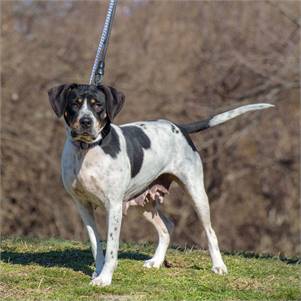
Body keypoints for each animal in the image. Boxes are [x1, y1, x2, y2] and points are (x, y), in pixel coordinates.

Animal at [48, 83, 274, 284]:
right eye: (75, 103)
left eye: (98, 105)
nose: (86, 121)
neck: (88, 150)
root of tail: (179, 127)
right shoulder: (83, 206)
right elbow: (96, 243)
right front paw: (98, 271)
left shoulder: (114, 206)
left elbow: (112, 247)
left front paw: (104, 278)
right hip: (144, 201)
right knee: (167, 226)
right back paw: (156, 261)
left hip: (196, 193)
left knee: (210, 232)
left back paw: (218, 266)